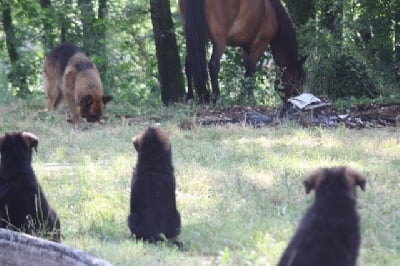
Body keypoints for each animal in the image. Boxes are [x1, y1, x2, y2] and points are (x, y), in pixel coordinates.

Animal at [178, 0, 306, 103]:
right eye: (297, 81)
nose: (295, 99)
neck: (271, 10)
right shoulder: (260, 44)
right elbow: (250, 73)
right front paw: (248, 99)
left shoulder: (246, 48)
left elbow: (247, 72)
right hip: (219, 40)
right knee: (213, 65)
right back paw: (217, 98)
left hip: (192, 35)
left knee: (189, 63)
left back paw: (191, 97)